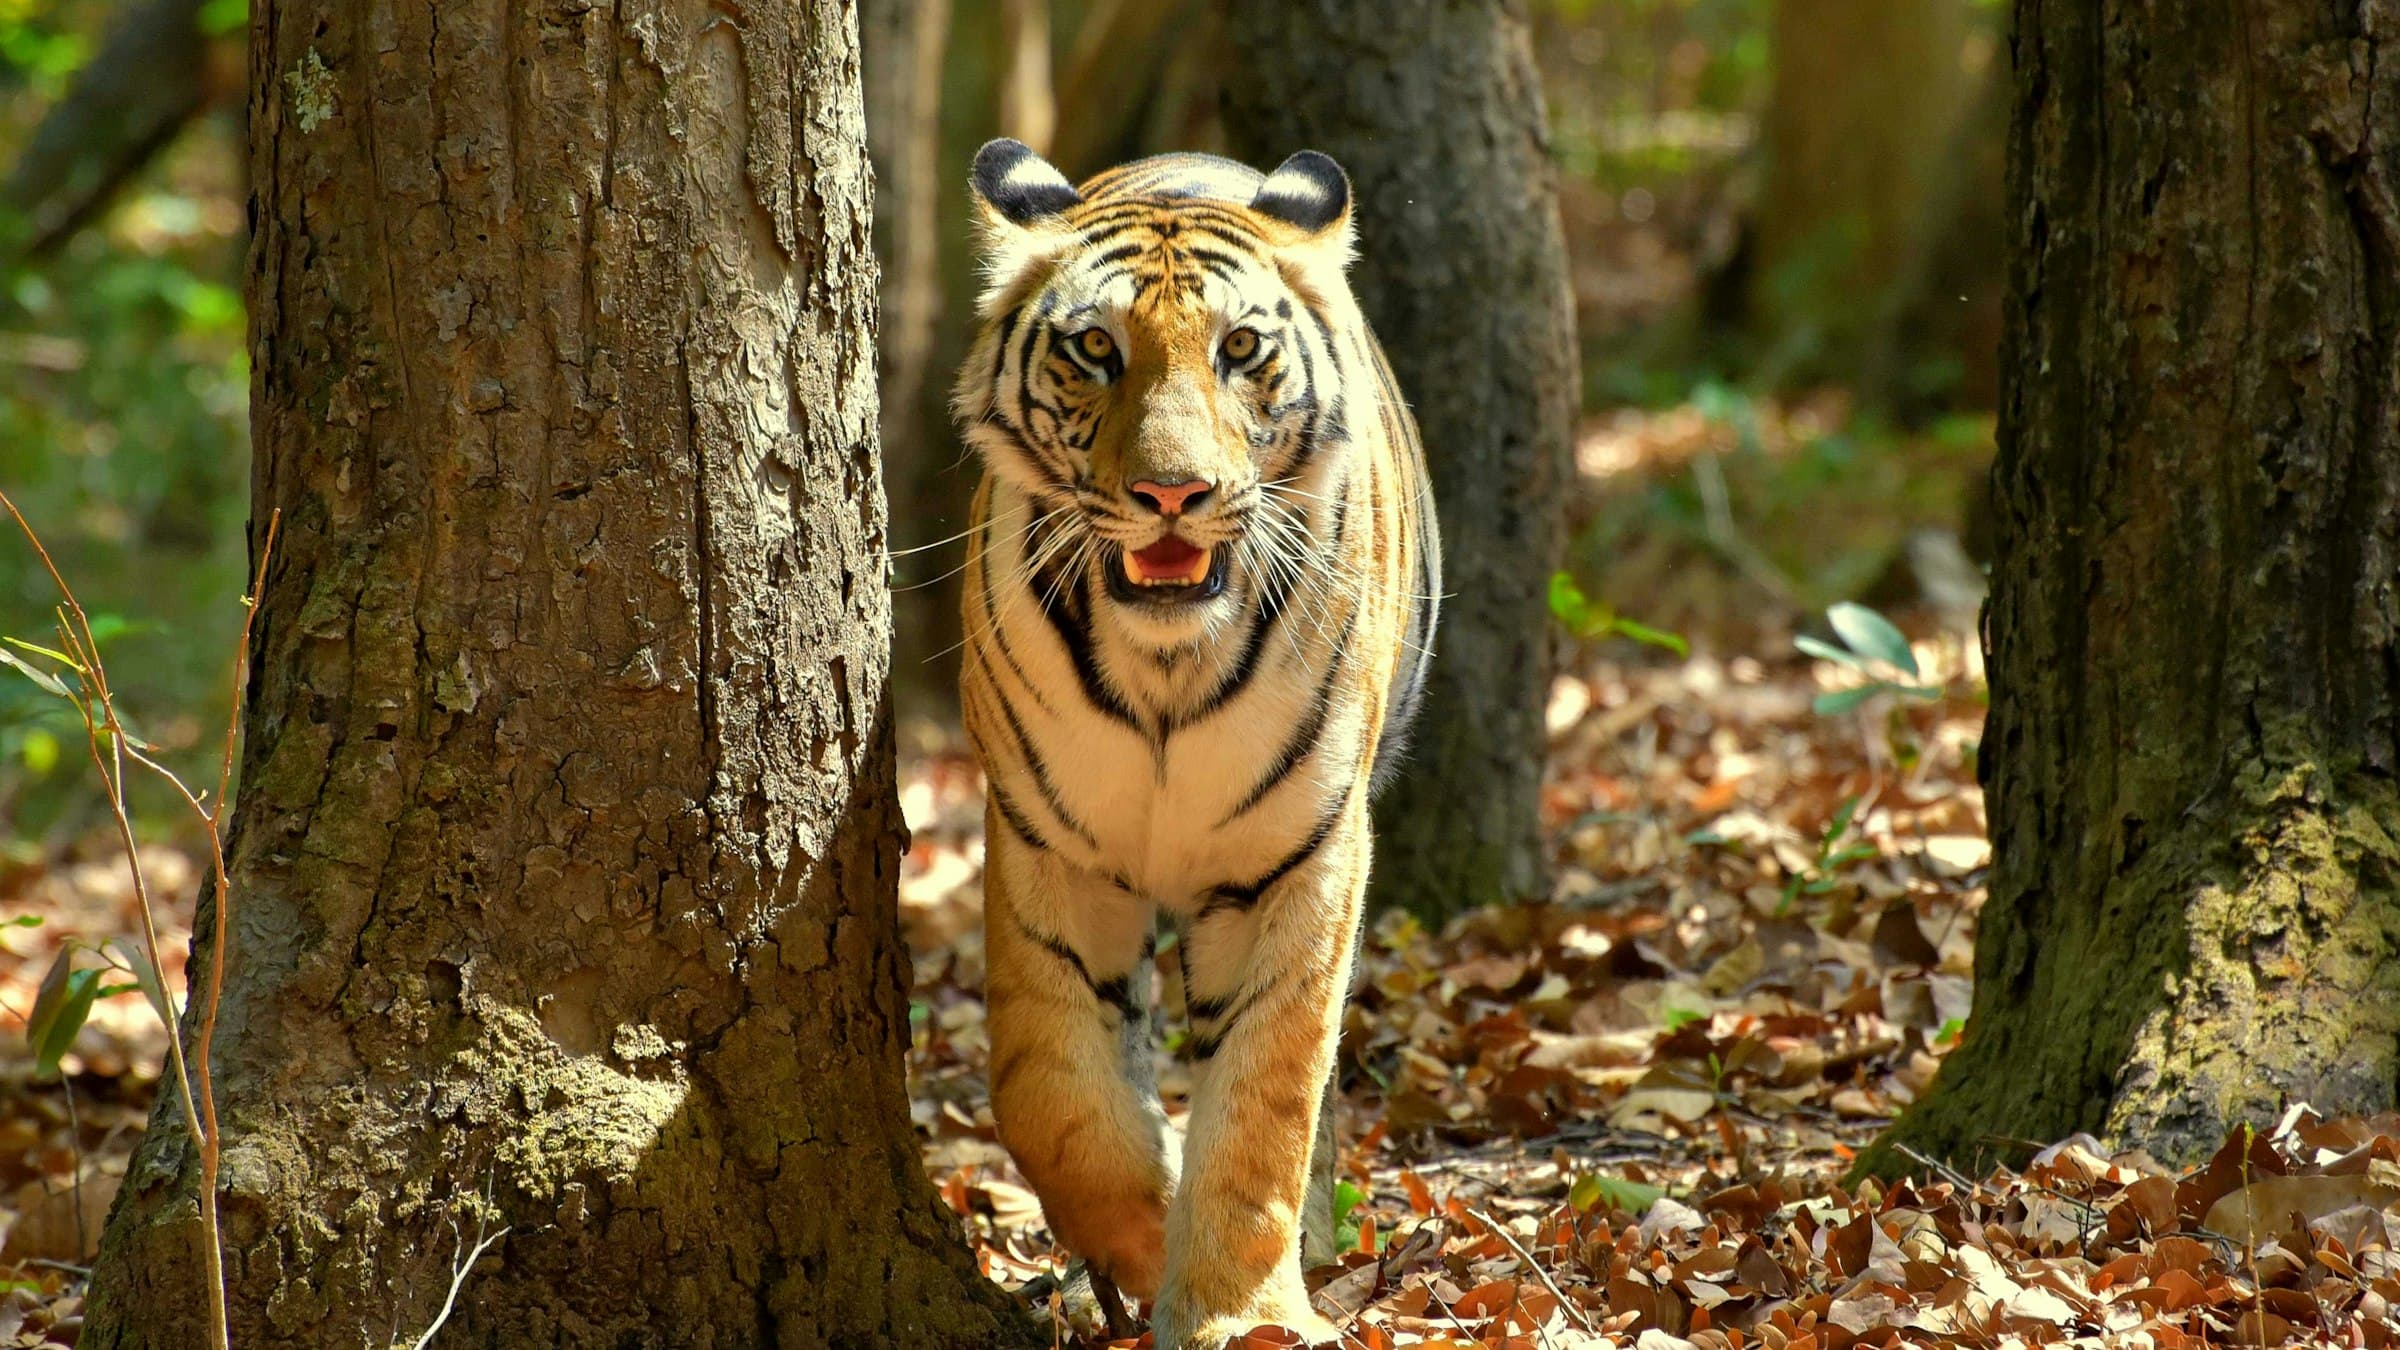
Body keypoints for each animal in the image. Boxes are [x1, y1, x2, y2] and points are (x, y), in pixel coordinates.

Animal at [951, 137, 1440, 1348]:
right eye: (1095, 348)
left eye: (1241, 349)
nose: (1172, 493)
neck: (1166, 668)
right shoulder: (1048, 846)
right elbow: (1050, 1093)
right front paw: (1139, 1233)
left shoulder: (1298, 858)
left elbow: (1268, 1104)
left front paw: (1238, 1313)